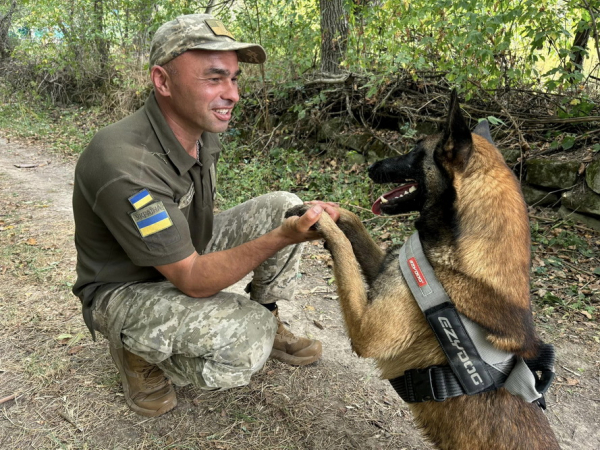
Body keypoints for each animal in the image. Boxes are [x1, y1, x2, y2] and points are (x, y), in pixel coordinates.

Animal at [288, 91, 560, 450]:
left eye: (416, 152)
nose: (372, 166)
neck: (455, 256)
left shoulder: (366, 332)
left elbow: (343, 248)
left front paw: (319, 219)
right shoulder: (386, 269)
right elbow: (355, 225)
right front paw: (332, 210)